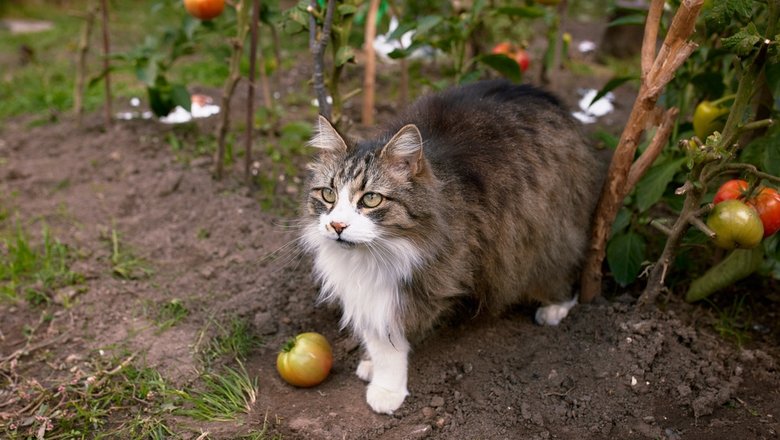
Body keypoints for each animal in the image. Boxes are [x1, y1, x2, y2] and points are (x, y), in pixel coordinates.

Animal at [298, 80, 604, 416]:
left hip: (547, 233)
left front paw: (387, 389)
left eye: (371, 199)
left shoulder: (426, 281)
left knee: (566, 268)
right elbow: (375, 335)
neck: (371, 257)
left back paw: (555, 307)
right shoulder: (366, 291)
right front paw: (371, 364)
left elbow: (391, 343)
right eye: (328, 194)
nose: (337, 226)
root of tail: (544, 95)